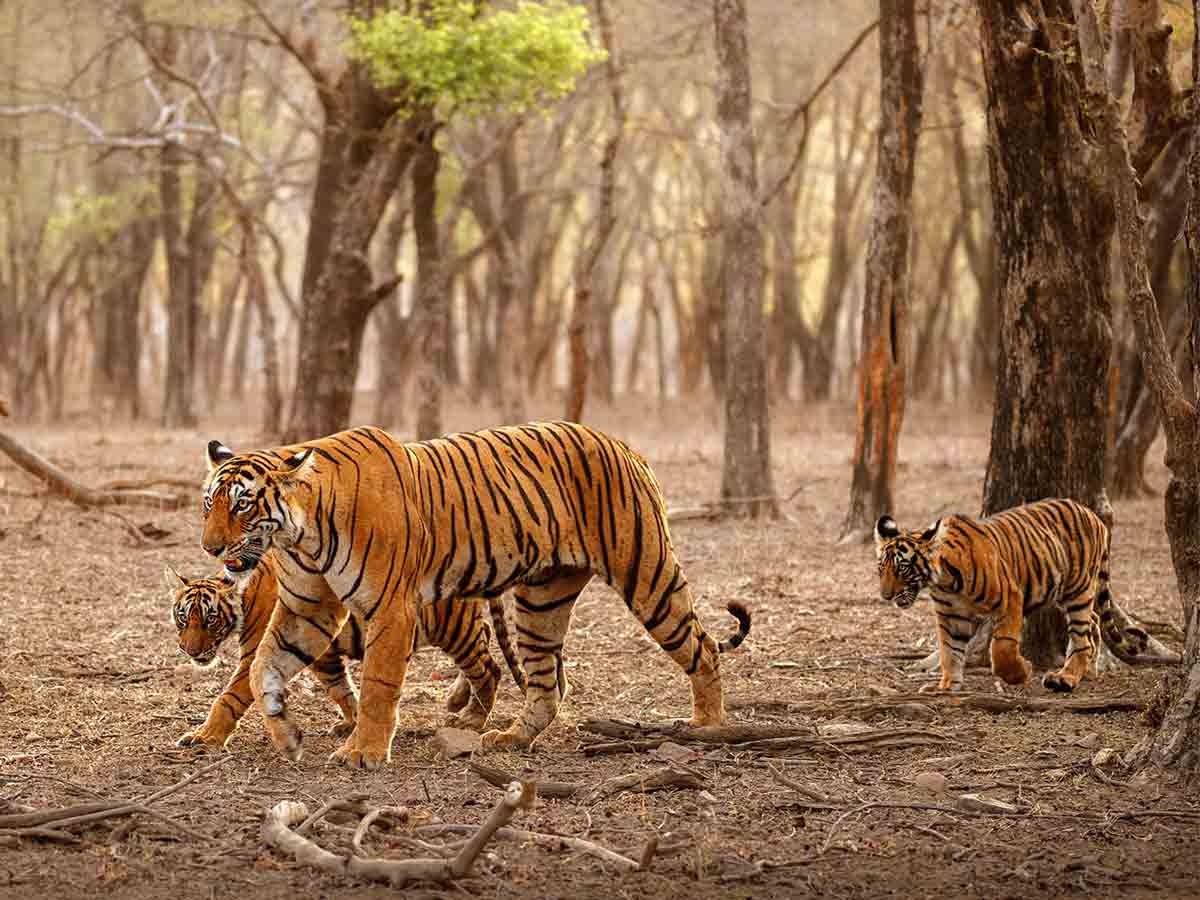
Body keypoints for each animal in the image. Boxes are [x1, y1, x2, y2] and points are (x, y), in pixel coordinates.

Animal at [166, 561, 523, 748]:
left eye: (210, 619)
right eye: (183, 617)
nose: (190, 650)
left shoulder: (256, 656)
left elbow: (227, 699)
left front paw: (204, 737)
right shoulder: (320, 652)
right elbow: (340, 688)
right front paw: (351, 722)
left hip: (452, 627)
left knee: (489, 668)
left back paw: (473, 717)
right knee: (484, 639)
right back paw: (457, 699)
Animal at [202, 422, 753, 768]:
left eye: (243, 505)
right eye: (209, 503)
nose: (210, 547)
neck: (300, 535)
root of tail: (624, 445)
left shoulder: (391, 608)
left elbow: (378, 684)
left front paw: (364, 753)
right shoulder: (308, 608)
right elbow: (262, 667)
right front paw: (284, 732)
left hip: (647, 574)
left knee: (702, 648)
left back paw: (707, 725)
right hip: (542, 600)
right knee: (547, 683)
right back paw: (510, 739)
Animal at [878, 496, 1147, 696]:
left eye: (902, 568)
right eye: (881, 569)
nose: (885, 595)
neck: (943, 581)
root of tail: (1093, 515)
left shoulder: (1009, 599)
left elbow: (1002, 649)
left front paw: (1023, 671)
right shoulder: (951, 615)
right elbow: (950, 652)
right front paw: (946, 686)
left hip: (1077, 588)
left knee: (1083, 635)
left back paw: (1067, 677)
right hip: (1069, 593)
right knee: (1094, 621)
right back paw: (1089, 671)